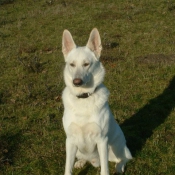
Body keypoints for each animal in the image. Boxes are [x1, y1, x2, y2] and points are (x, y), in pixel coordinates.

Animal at [62, 28, 132, 174]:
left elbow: (105, 169)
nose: (76, 82)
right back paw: (81, 162)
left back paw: (119, 167)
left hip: (115, 146)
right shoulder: (70, 140)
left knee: (124, 158)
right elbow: (67, 167)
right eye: (72, 64)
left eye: (86, 64)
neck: (84, 97)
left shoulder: (102, 140)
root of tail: (94, 161)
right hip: (77, 149)